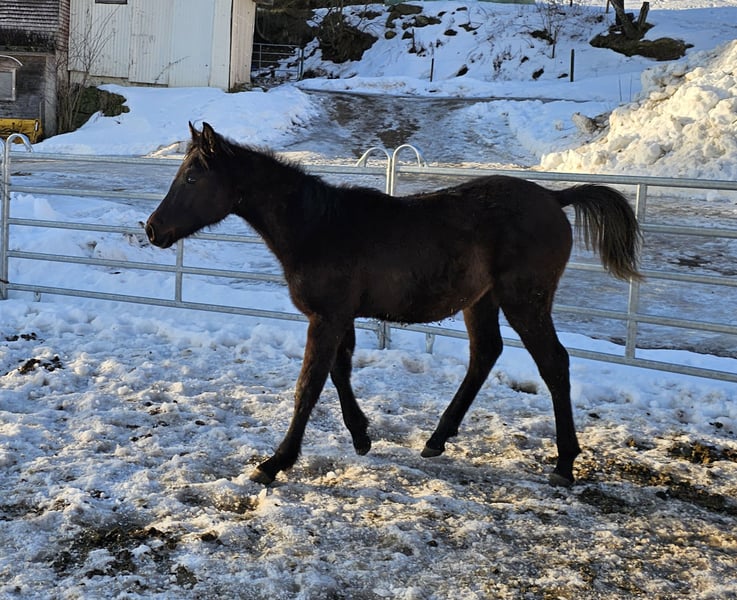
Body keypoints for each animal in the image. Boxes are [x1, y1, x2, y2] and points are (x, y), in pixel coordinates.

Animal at [146, 122, 641, 487]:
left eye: (192, 177)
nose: (152, 229)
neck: (319, 227)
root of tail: (555, 197)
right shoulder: (339, 316)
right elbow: (339, 373)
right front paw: (361, 436)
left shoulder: (325, 318)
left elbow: (309, 385)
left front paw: (275, 462)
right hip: (481, 301)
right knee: (485, 353)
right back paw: (437, 439)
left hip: (526, 301)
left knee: (554, 363)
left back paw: (564, 463)